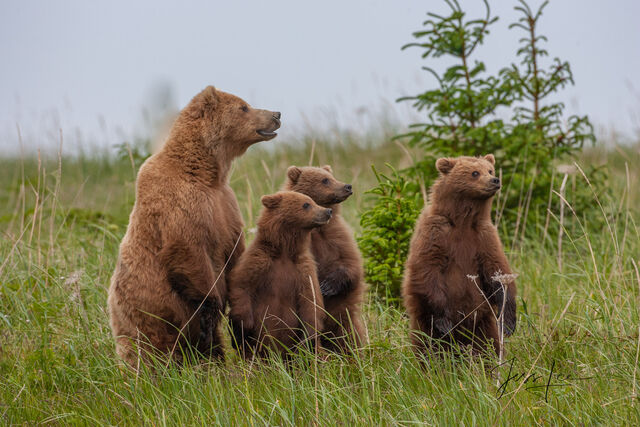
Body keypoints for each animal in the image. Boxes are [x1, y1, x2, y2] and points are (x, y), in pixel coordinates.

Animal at [107, 87, 280, 368]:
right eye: (243, 107)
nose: (276, 114)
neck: (206, 171)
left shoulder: (225, 204)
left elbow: (235, 249)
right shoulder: (180, 205)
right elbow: (188, 250)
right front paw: (212, 306)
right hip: (148, 313)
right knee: (154, 347)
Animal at [228, 192, 332, 360]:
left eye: (312, 201)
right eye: (306, 204)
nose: (328, 211)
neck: (284, 251)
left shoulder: (304, 270)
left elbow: (311, 302)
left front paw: (306, 339)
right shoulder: (259, 261)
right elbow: (241, 286)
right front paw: (244, 328)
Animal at [284, 166, 368, 352]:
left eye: (331, 176)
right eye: (325, 180)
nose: (347, 186)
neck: (316, 228)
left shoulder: (337, 237)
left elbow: (351, 264)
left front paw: (328, 286)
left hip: (344, 320)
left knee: (350, 337)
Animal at [404, 155, 516, 360]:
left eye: (490, 170)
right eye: (474, 172)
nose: (495, 180)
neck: (463, 221)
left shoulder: (484, 238)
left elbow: (498, 272)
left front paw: (509, 321)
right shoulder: (435, 234)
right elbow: (427, 270)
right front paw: (445, 322)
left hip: (482, 323)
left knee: (488, 345)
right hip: (424, 324)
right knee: (428, 347)